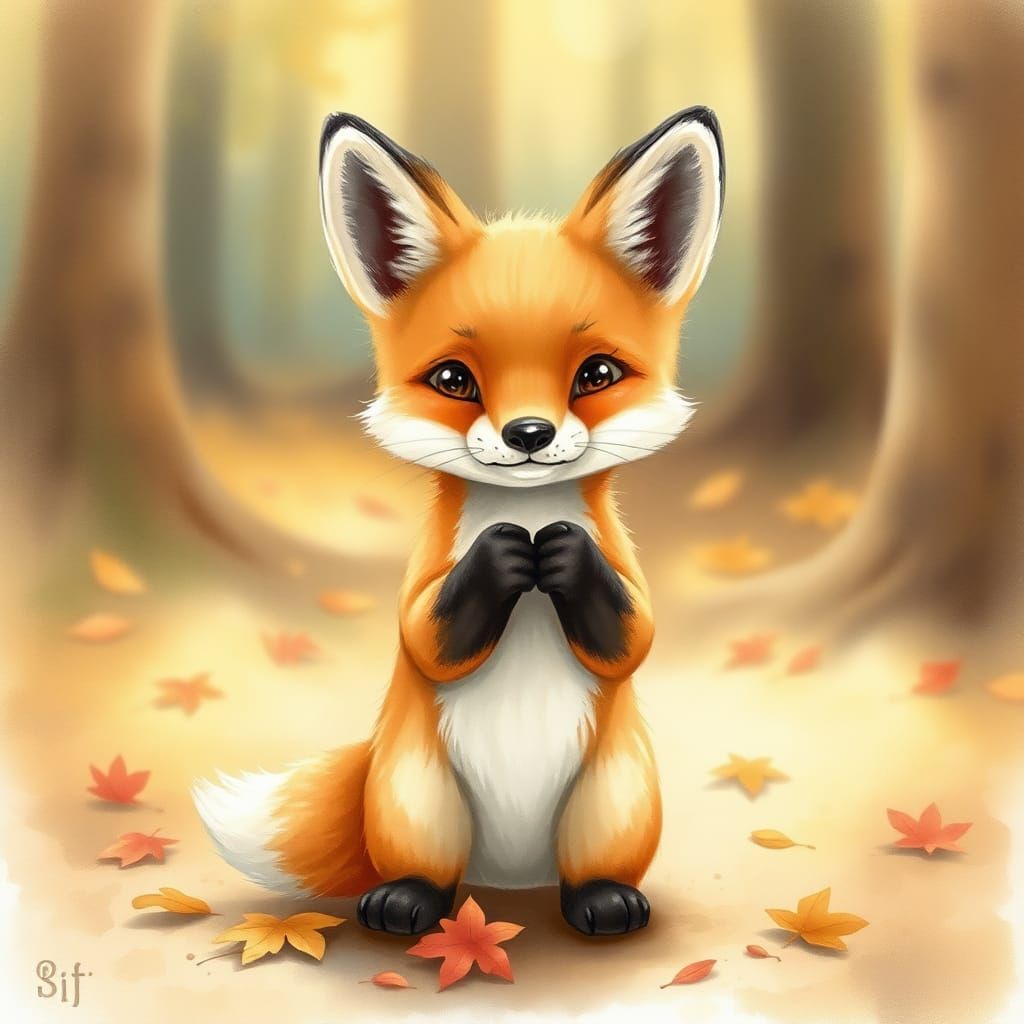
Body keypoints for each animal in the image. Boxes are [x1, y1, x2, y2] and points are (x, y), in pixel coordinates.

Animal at [194, 106, 724, 936]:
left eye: (597, 374)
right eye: (454, 380)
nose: (529, 434)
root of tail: (510, 875)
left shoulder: (626, 576)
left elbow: (635, 633)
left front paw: (565, 557)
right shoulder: (424, 584)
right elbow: (425, 632)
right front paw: (503, 558)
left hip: (613, 797)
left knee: (593, 872)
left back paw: (602, 899)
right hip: (420, 798)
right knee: (425, 872)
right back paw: (408, 901)